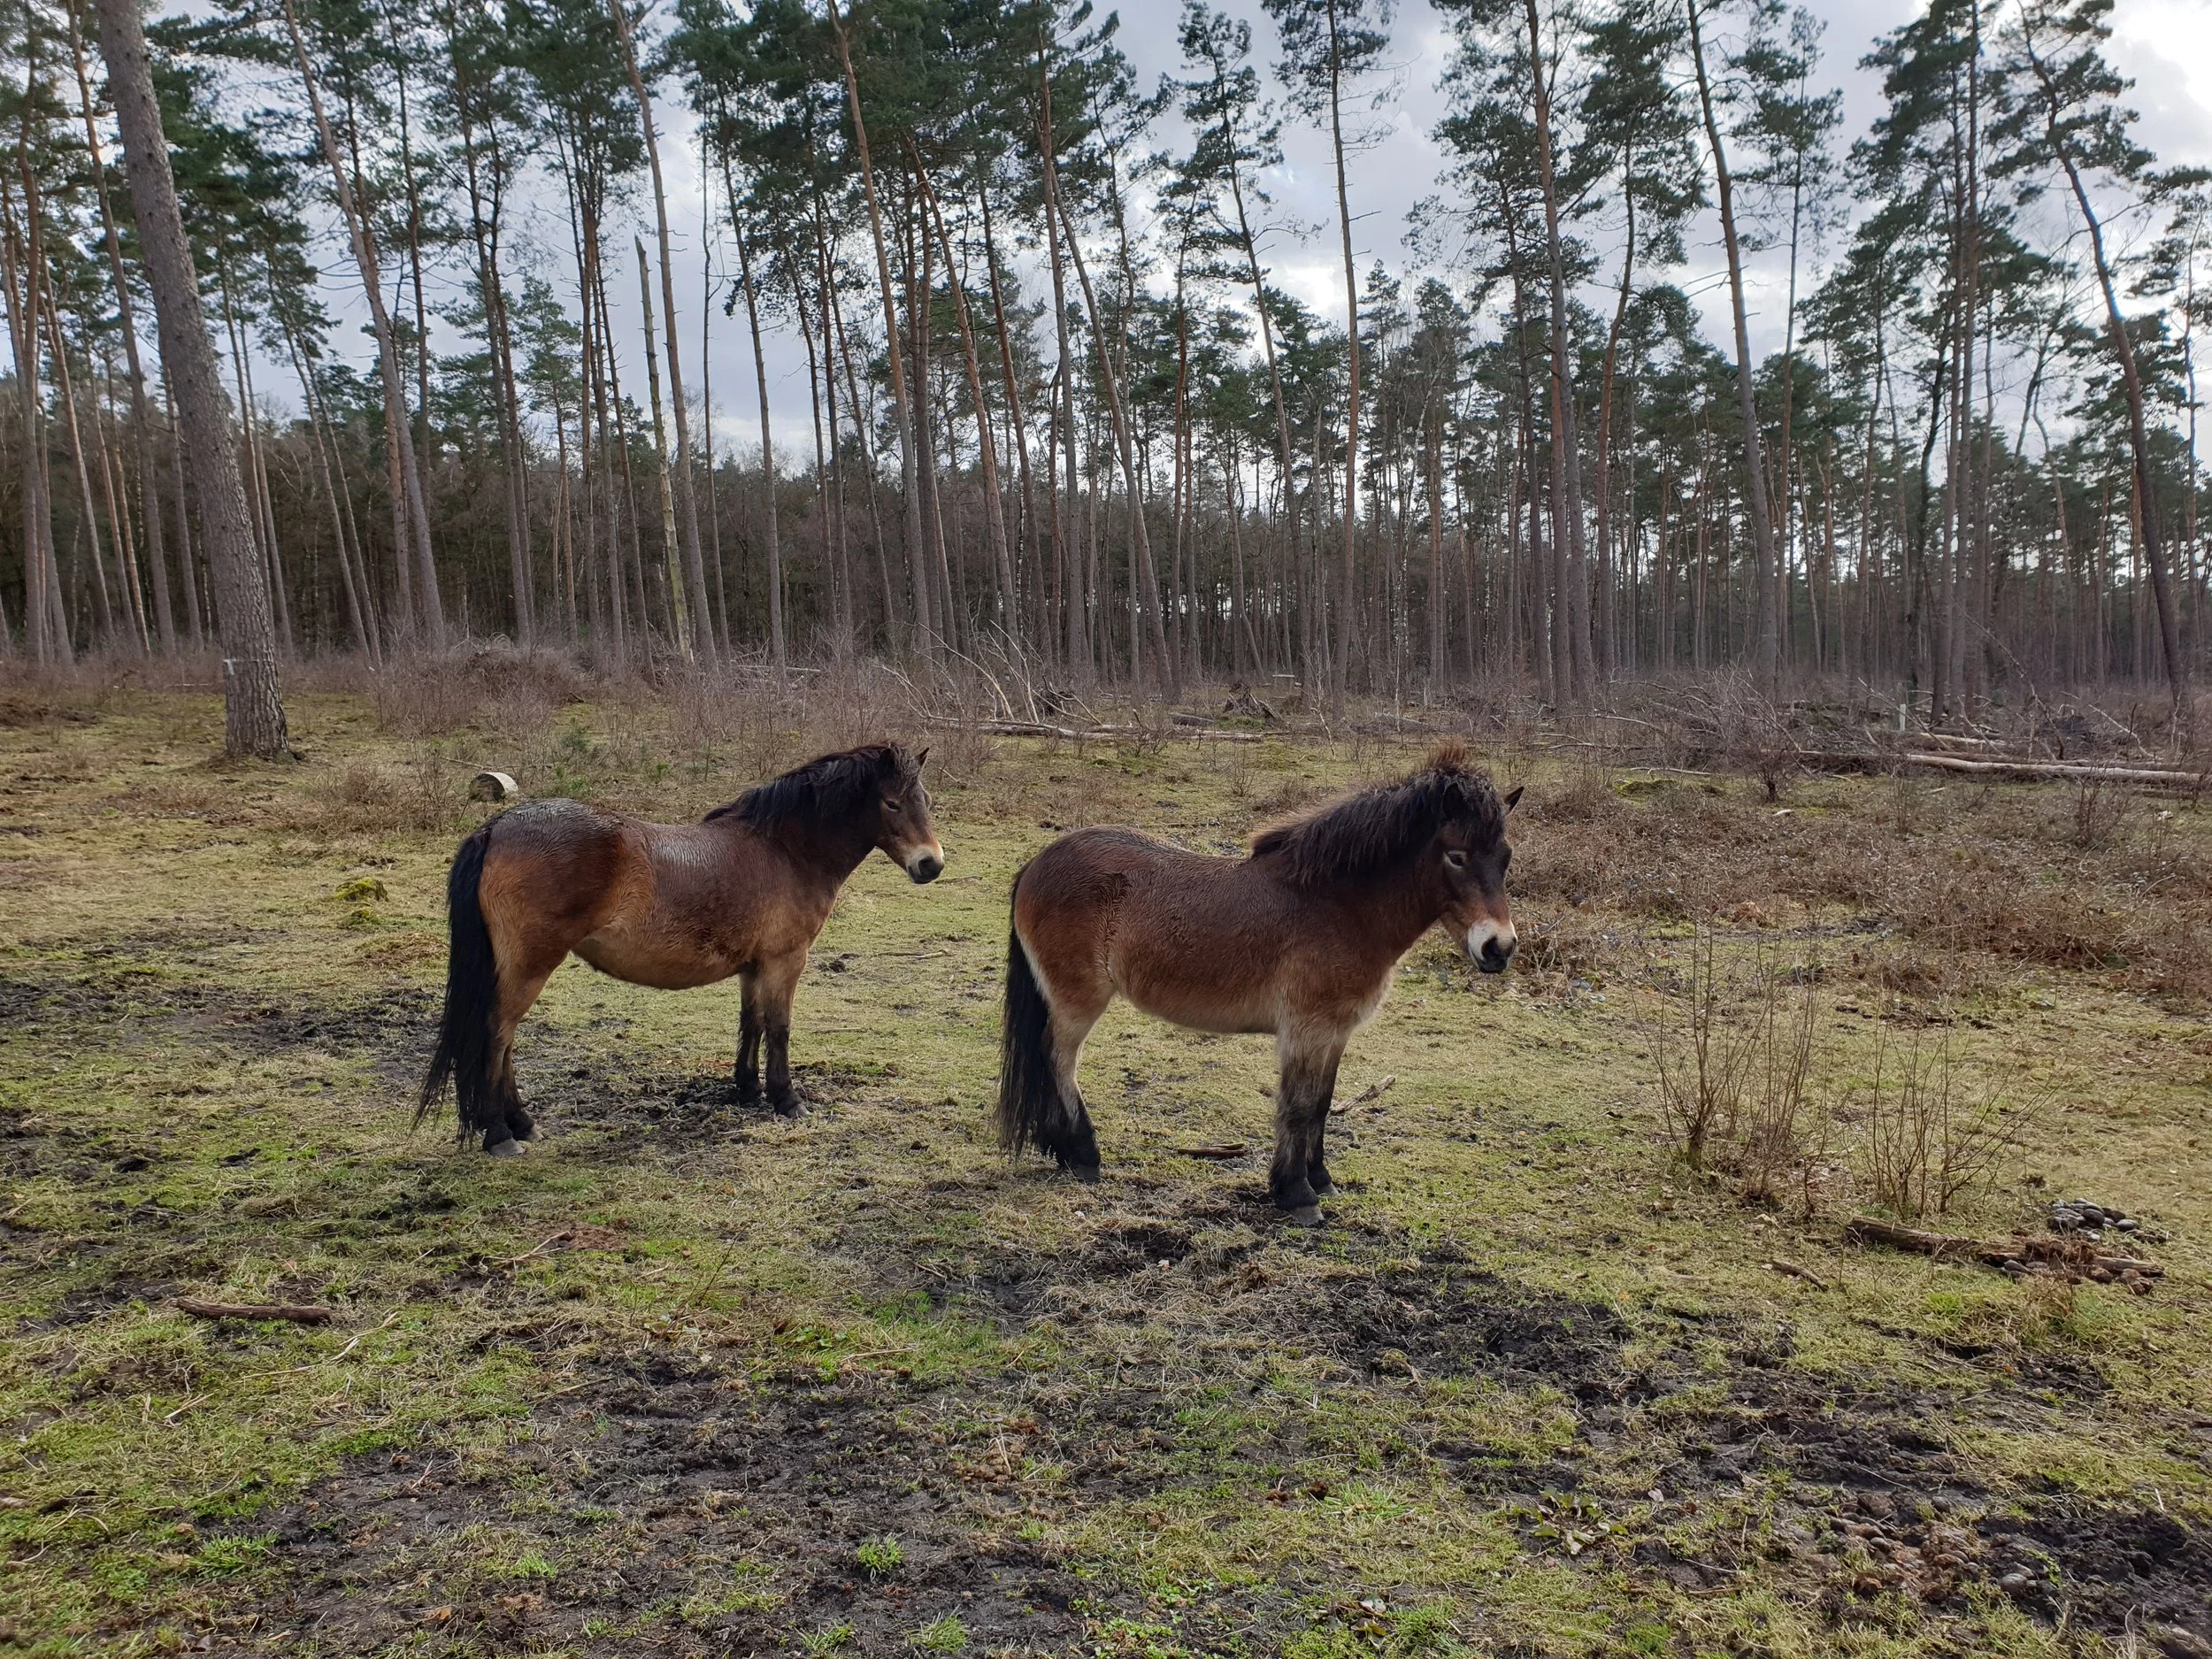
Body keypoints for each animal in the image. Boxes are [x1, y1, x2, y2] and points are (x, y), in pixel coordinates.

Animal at [421, 743, 944, 1155]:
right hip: (529, 965)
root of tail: (497, 827)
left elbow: (751, 1022)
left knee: (505, 1040)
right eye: (892, 803)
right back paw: (499, 1135)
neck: (784, 849)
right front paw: (787, 1099)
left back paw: (523, 1125)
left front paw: (746, 1090)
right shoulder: (785, 960)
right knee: (496, 1035)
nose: (931, 865)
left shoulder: (753, 966)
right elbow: (779, 1028)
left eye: (926, 800)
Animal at [995, 742, 1519, 1225]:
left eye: (1506, 857)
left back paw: (1063, 1151)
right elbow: (1299, 1107)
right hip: (1078, 1002)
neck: (1337, 905)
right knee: (1058, 1061)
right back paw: (1083, 1155)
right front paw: (1296, 1194)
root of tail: (1037, 864)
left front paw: (1320, 1179)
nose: (1500, 948)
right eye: (1456, 856)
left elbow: (1322, 1104)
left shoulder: (1335, 1032)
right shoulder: (1306, 1030)